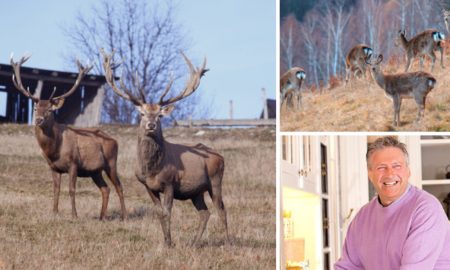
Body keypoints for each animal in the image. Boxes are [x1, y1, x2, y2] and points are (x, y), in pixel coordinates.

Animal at [10, 54, 126, 219]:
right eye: (36, 108)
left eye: (50, 110)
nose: (38, 120)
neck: (54, 150)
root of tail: (115, 140)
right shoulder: (53, 167)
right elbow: (56, 190)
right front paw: (54, 212)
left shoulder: (74, 164)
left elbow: (71, 189)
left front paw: (74, 215)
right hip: (95, 171)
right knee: (105, 189)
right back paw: (101, 217)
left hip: (111, 162)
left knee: (119, 187)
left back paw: (124, 216)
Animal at [100, 49, 230, 248]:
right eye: (142, 114)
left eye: (160, 115)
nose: (151, 125)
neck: (152, 169)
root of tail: (220, 157)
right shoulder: (148, 186)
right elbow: (159, 213)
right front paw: (166, 241)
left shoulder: (169, 183)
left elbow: (167, 212)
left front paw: (169, 243)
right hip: (196, 191)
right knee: (205, 212)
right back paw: (194, 243)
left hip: (215, 180)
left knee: (221, 209)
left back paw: (229, 242)